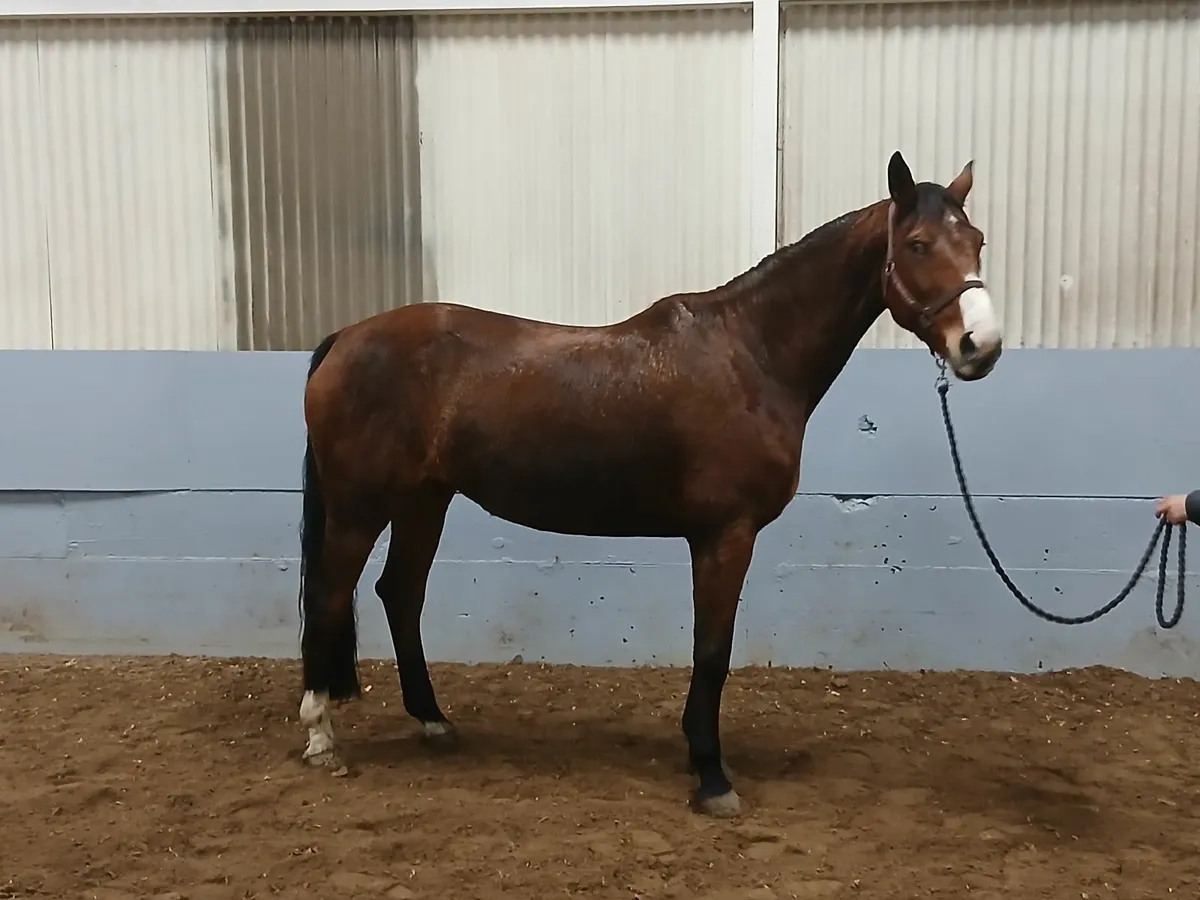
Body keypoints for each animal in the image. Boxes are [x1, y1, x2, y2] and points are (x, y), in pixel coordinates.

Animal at [294, 150, 1003, 817]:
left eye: (977, 241)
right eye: (918, 244)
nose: (982, 345)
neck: (751, 354)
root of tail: (345, 338)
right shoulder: (725, 535)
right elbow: (712, 651)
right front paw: (712, 777)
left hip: (424, 501)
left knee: (399, 593)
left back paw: (434, 722)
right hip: (360, 507)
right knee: (330, 596)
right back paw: (322, 740)